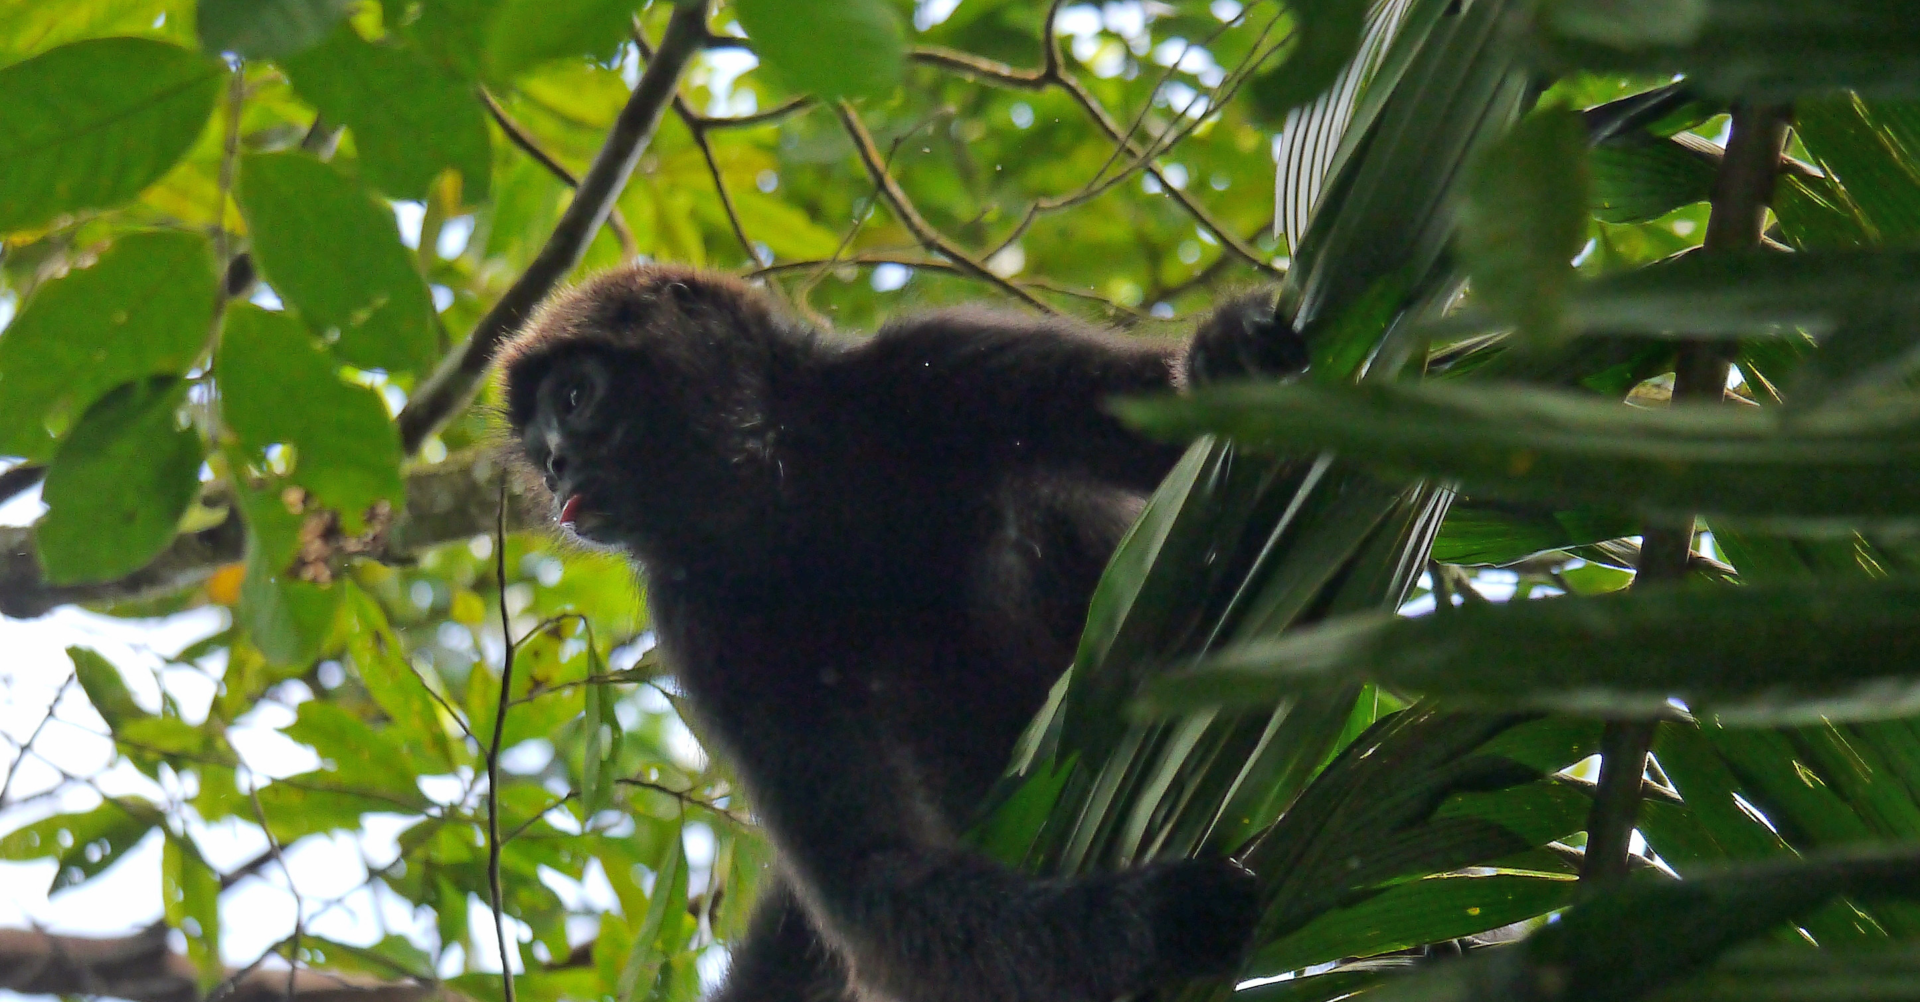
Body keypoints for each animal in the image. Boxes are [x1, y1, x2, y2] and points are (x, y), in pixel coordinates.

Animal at [495, 262, 1305, 998]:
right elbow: (876, 875)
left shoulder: (934, 365)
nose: (557, 465)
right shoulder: (700, 618)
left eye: (574, 397)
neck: (789, 490)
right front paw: (1156, 920)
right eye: (536, 447)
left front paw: (1224, 354)